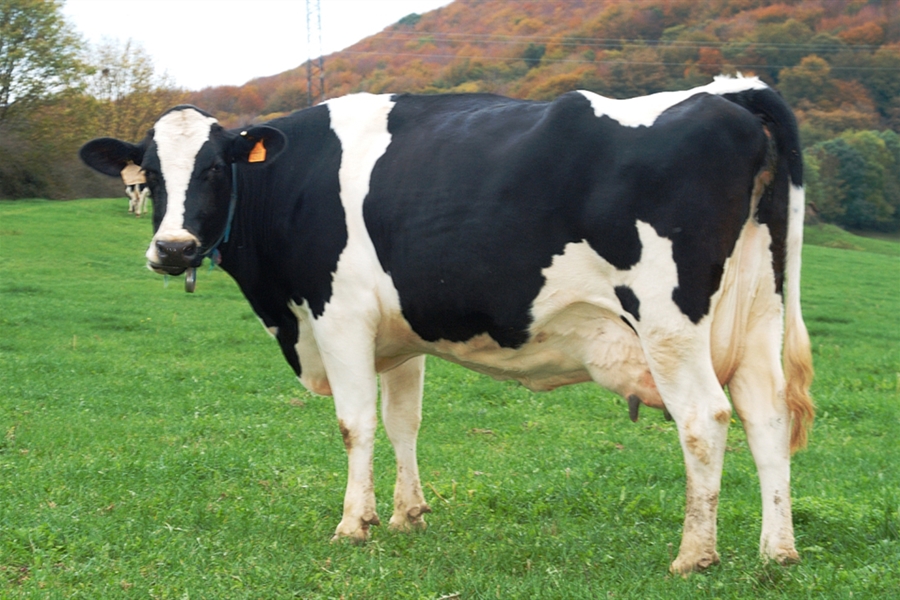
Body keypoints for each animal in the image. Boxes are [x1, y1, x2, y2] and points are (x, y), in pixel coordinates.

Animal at [81, 76, 816, 576]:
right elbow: (403, 421)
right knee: (767, 416)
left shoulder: (339, 315)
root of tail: (730, 93)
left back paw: (695, 554)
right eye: (148, 174)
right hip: (758, 312)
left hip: (670, 321)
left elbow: (356, 423)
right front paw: (406, 514)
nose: (173, 248)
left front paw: (353, 524)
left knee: (706, 418)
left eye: (214, 168)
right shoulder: (399, 335)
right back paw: (776, 550)